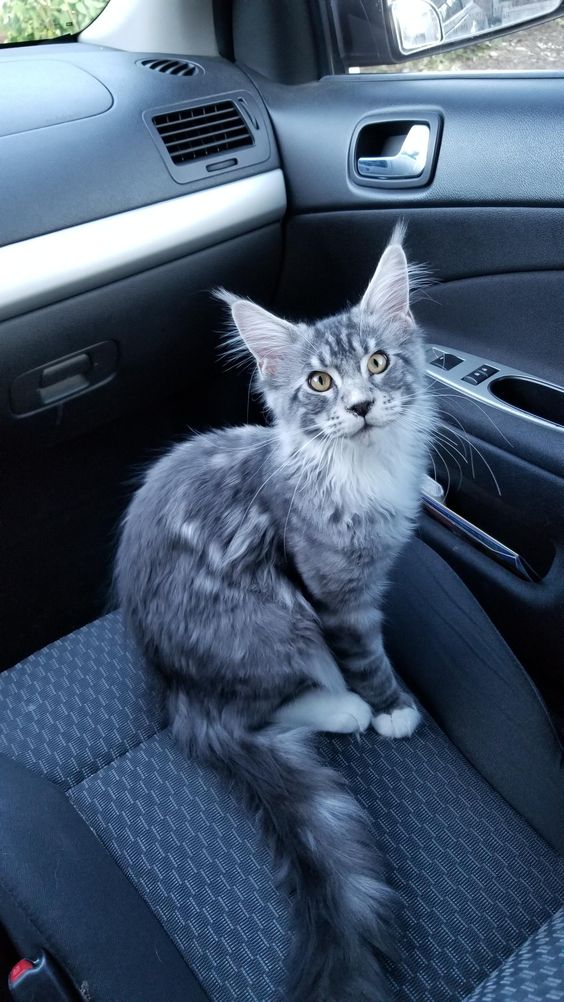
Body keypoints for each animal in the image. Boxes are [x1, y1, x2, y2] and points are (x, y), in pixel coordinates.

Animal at [113, 227, 432, 1002]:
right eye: (319, 383)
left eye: (378, 363)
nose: (360, 406)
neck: (359, 467)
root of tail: (174, 690)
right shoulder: (334, 598)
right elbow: (368, 660)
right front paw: (393, 709)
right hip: (272, 626)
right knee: (255, 716)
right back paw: (343, 708)